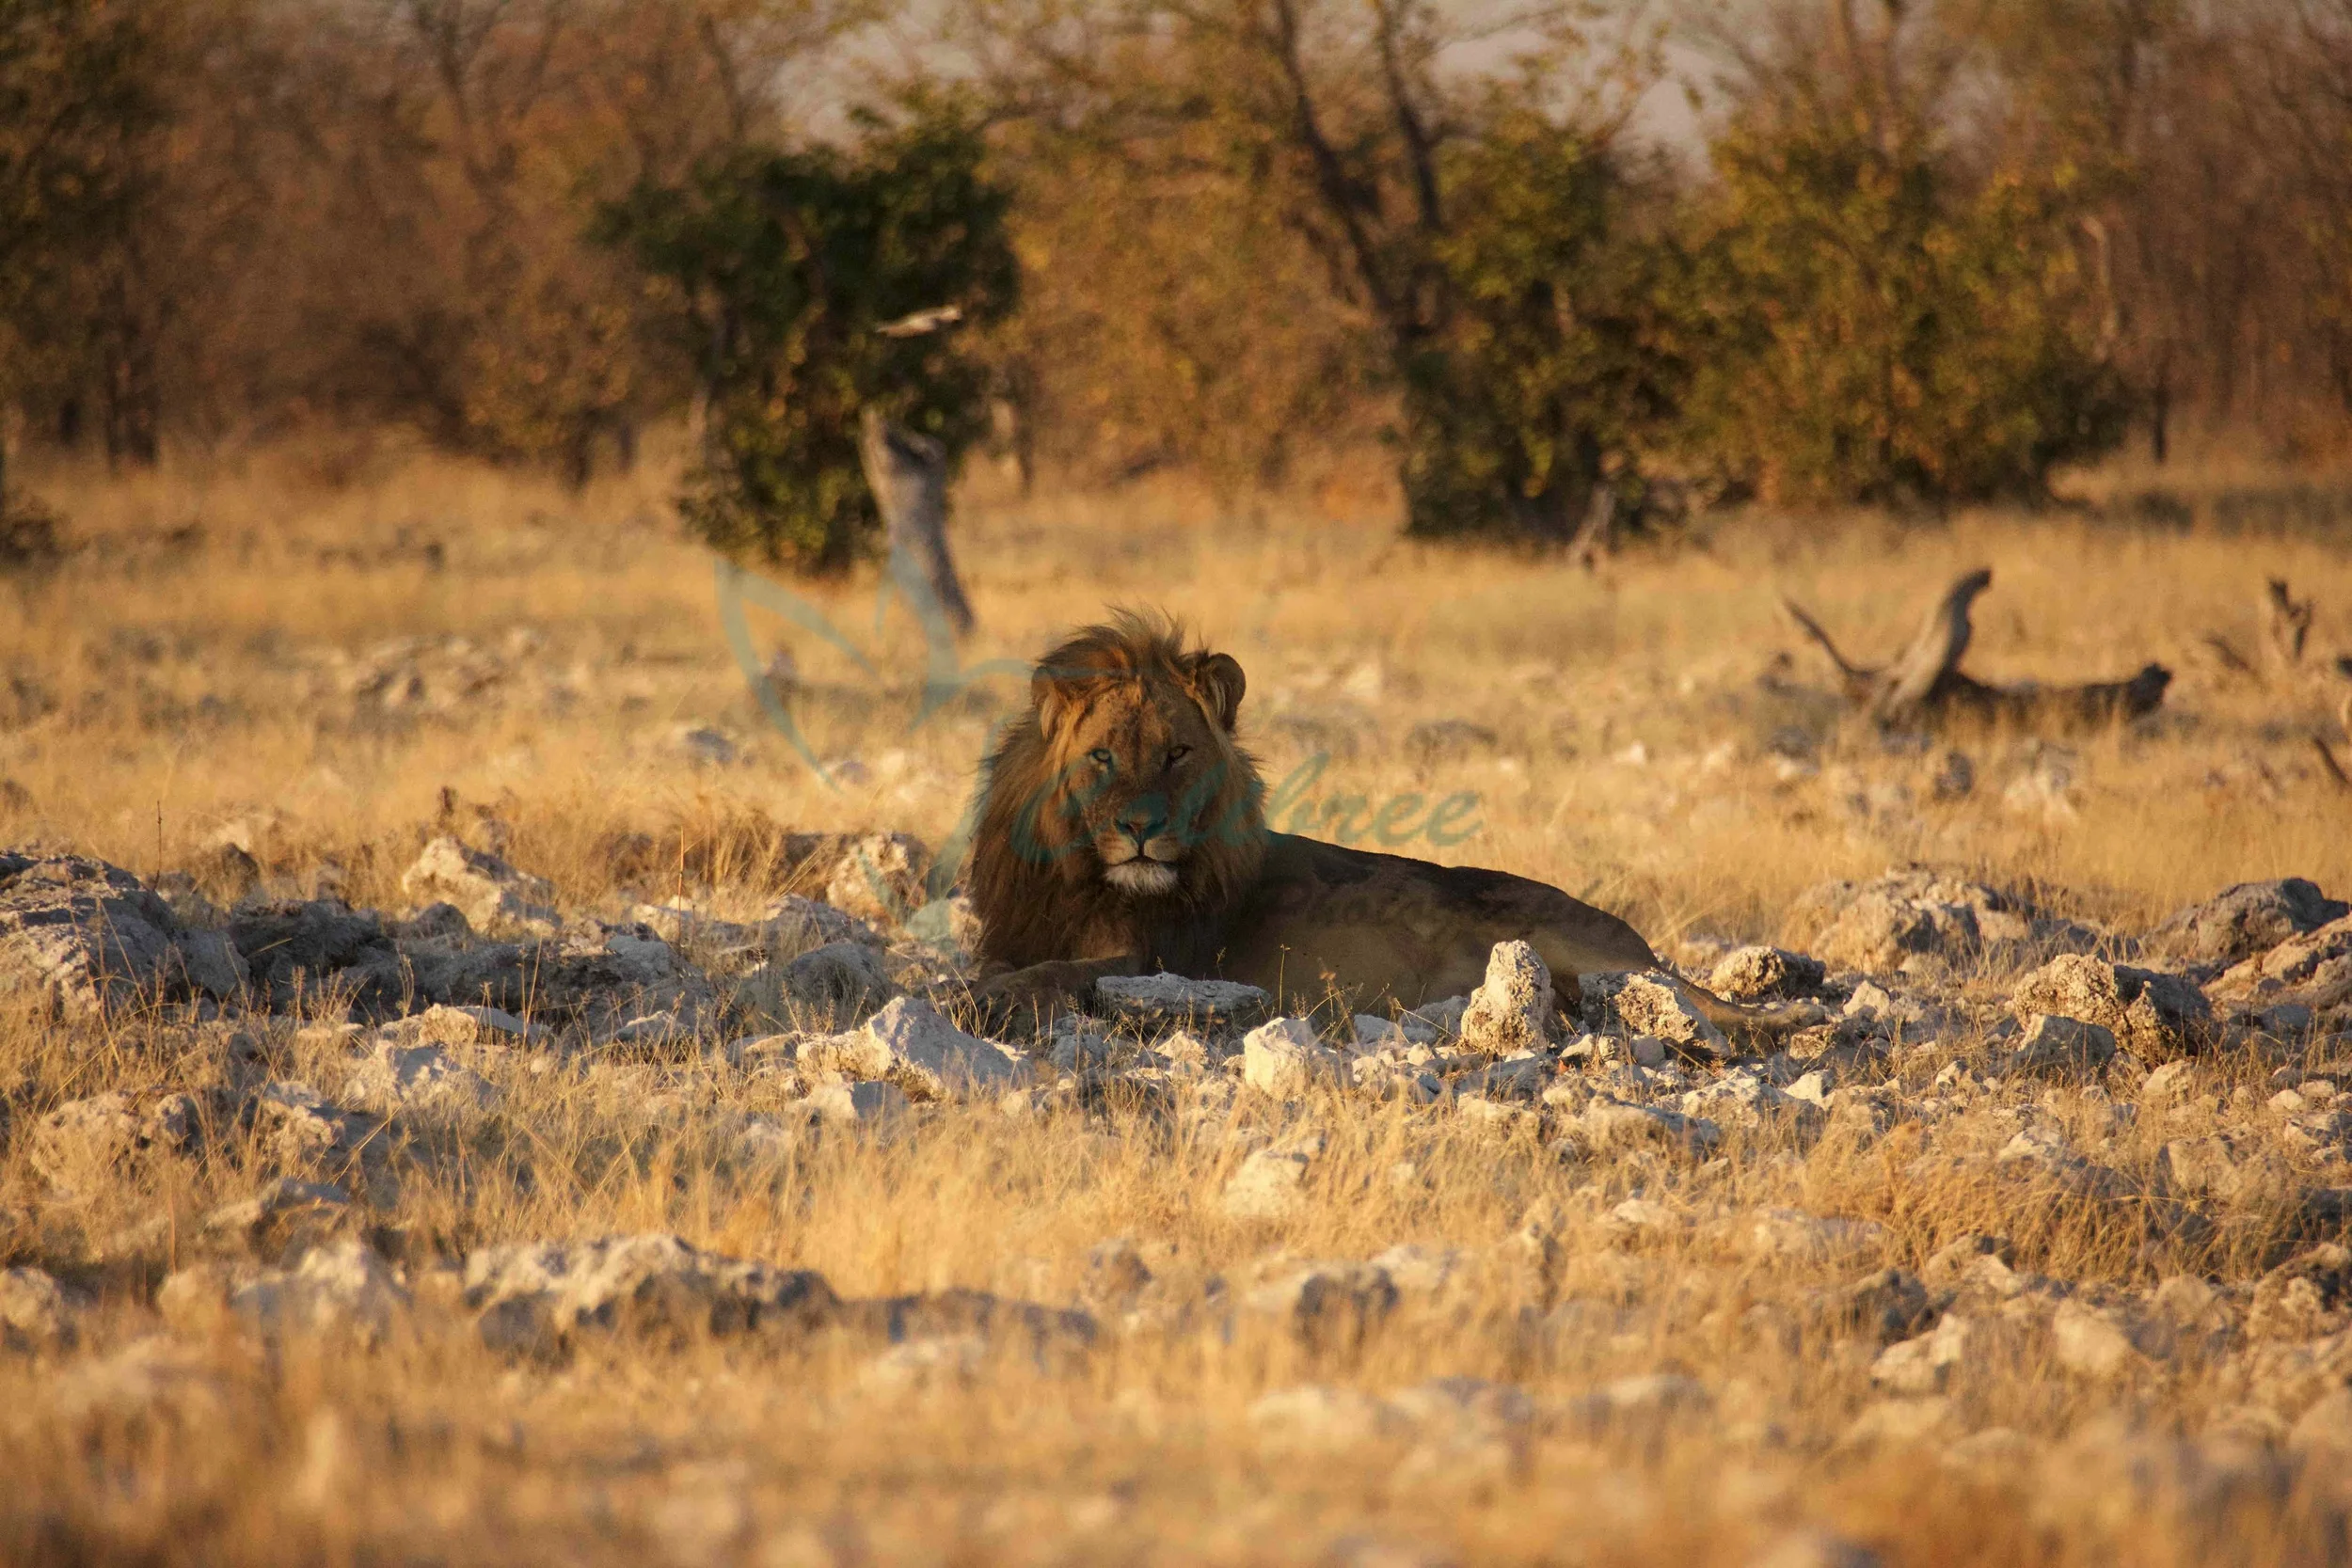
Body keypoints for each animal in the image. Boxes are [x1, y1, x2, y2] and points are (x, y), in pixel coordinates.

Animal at [968, 611, 1782, 1038]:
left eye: (1177, 753)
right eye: (1102, 755)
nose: (1140, 828)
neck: (1082, 879)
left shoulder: (1157, 960)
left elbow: (1059, 972)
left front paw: (991, 1000)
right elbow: (1008, 965)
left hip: (1578, 945)